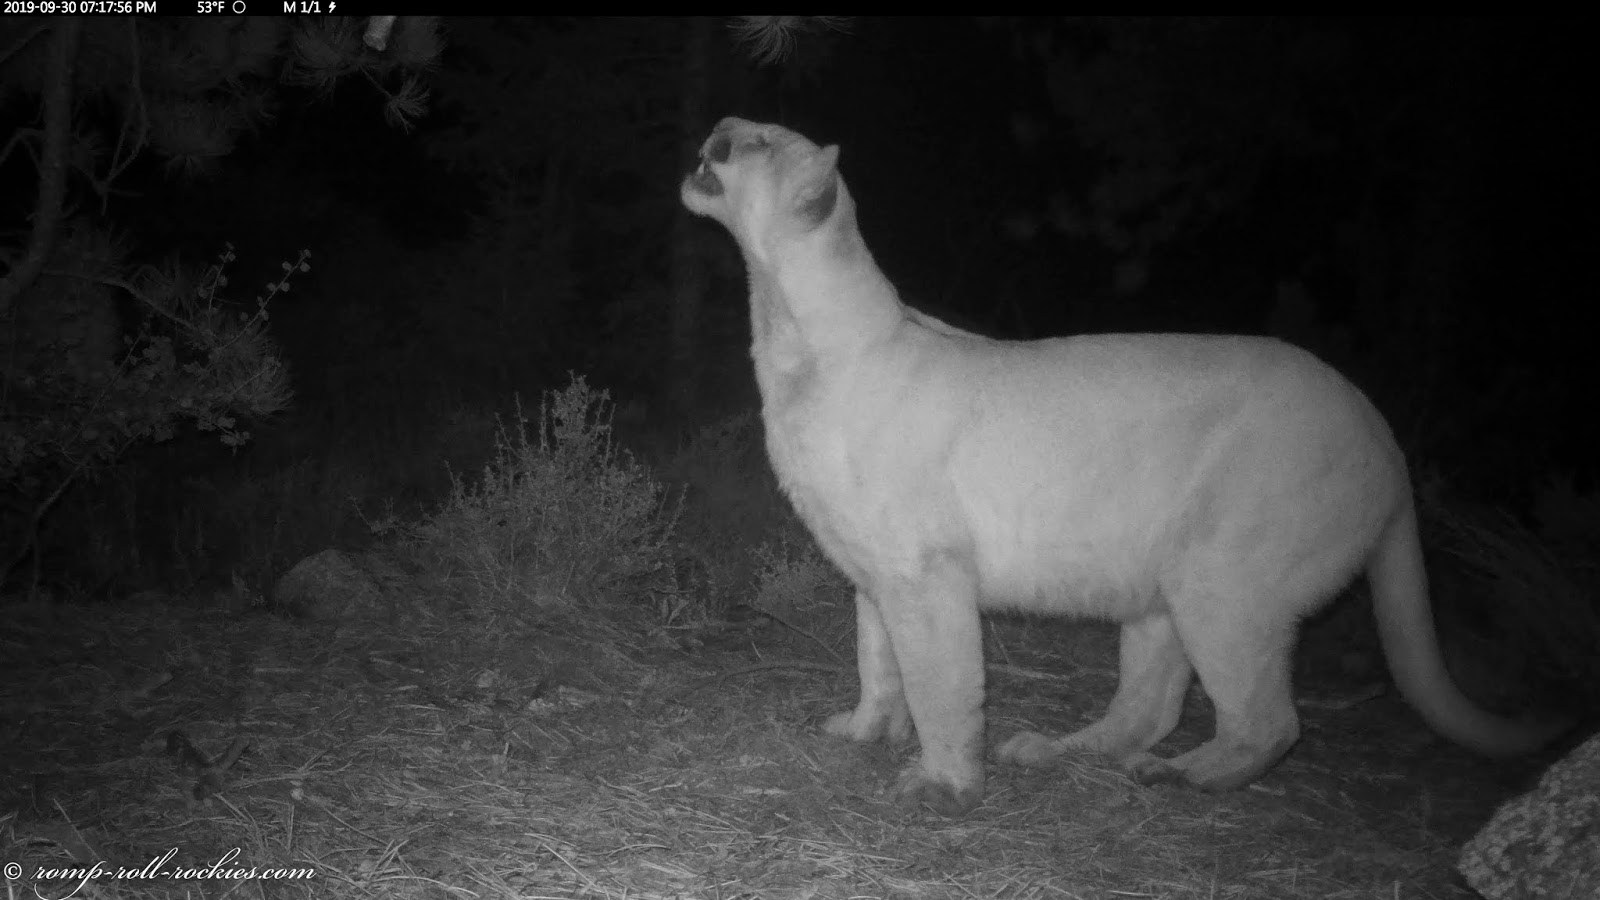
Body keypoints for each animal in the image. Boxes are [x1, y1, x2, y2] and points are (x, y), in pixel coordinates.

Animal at [680, 117, 1567, 816]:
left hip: (1223, 578)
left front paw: (943, 785)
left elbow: (940, 679)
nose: (719, 124)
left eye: (757, 140)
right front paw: (865, 732)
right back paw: (1054, 750)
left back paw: (1178, 777)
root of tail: (1382, 433)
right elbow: (878, 661)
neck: (786, 327)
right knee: (1152, 704)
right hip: (1160, 589)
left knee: (1268, 719)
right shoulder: (871, 568)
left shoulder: (925, 571)